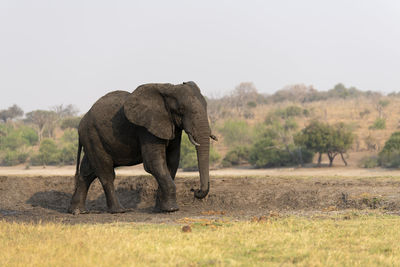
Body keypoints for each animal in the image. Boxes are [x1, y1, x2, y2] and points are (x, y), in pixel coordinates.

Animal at [68, 81, 216, 216]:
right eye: (181, 110)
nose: (195, 191)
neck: (168, 88)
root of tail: (82, 120)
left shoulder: (171, 126)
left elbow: (172, 162)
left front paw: (160, 209)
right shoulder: (146, 128)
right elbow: (154, 163)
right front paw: (172, 209)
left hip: (92, 138)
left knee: (87, 171)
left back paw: (77, 211)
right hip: (92, 135)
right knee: (105, 173)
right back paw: (119, 211)